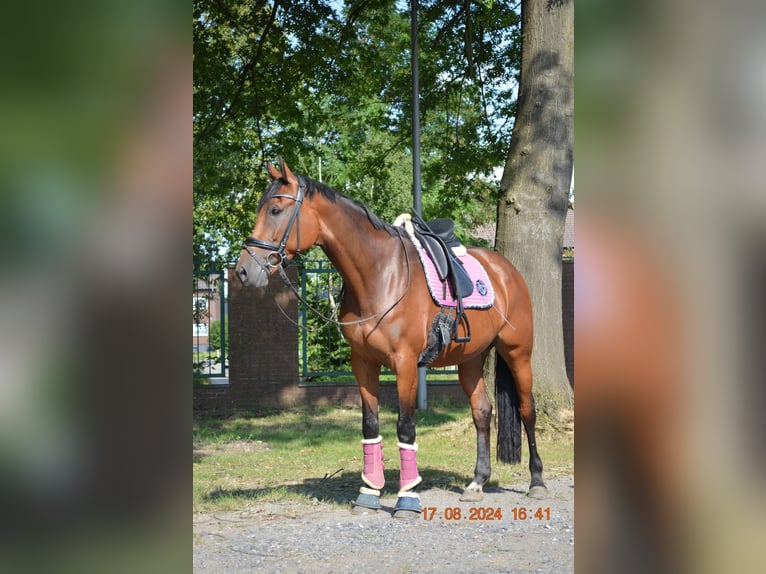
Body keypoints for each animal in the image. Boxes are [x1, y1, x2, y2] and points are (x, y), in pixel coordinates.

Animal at [234, 159, 544, 516]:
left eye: (274, 209)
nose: (243, 270)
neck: (380, 275)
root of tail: (507, 269)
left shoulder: (405, 363)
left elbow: (405, 427)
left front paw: (407, 498)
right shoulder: (363, 363)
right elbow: (370, 425)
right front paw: (368, 493)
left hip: (518, 352)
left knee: (527, 410)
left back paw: (537, 482)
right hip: (470, 359)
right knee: (482, 411)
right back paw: (477, 483)